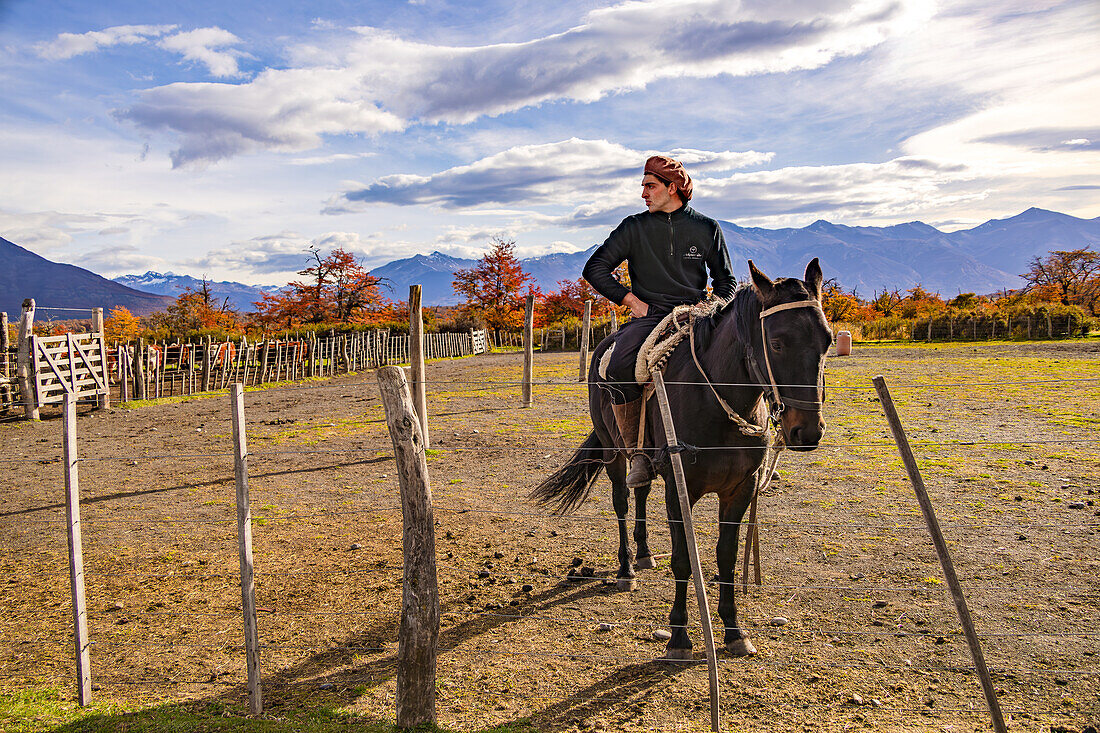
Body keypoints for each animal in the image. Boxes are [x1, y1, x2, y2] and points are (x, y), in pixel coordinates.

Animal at [534, 256, 831, 655]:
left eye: (827, 341)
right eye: (777, 343)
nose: (807, 431)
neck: (716, 399)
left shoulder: (739, 490)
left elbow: (726, 556)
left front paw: (735, 631)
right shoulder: (680, 488)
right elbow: (682, 560)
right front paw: (679, 635)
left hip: (645, 459)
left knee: (642, 490)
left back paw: (644, 554)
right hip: (613, 454)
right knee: (622, 502)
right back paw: (627, 569)